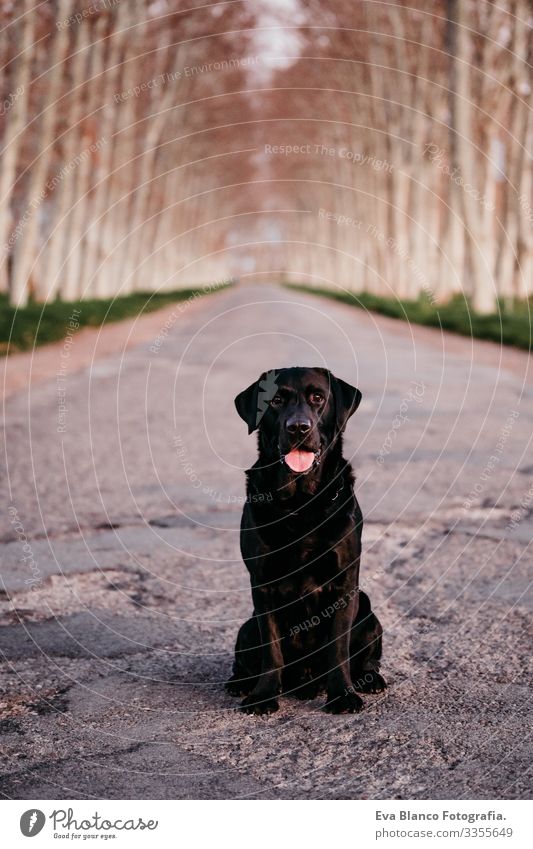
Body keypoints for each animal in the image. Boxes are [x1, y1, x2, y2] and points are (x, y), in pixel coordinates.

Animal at [225, 368, 386, 712]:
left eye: (318, 398)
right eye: (275, 400)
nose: (298, 426)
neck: (300, 503)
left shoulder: (343, 583)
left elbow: (337, 648)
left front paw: (342, 695)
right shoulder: (263, 583)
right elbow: (272, 649)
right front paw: (263, 695)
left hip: (367, 612)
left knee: (366, 657)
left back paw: (369, 679)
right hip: (248, 627)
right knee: (246, 658)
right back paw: (240, 683)